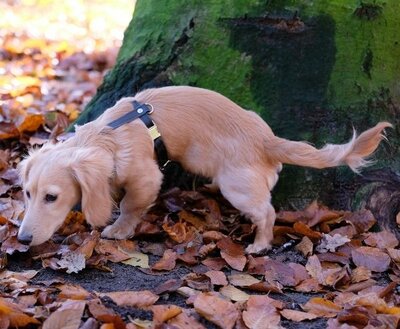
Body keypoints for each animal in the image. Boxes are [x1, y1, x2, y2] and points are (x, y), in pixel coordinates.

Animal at [17, 86, 390, 252]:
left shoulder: (147, 177)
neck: (108, 136)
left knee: (267, 213)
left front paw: (119, 229)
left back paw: (259, 244)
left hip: (236, 187)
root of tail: (266, 140)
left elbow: (129, 205)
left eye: (52, 197)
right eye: (27, 194)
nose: (21, 239)